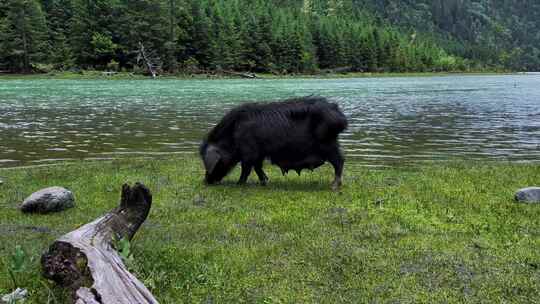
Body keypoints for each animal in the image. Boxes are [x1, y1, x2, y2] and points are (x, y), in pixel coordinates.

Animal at [200, 96, 348, 189]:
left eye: (217, 163)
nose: (206, 181)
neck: (233, 135)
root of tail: (338, 115)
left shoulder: (249, 152)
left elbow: (246, 168)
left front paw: (239, 184)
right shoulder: (259, 153)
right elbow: (257, 167)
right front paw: (265, 182)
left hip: (328, 144)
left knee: (340, 161)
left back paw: (334, 186)